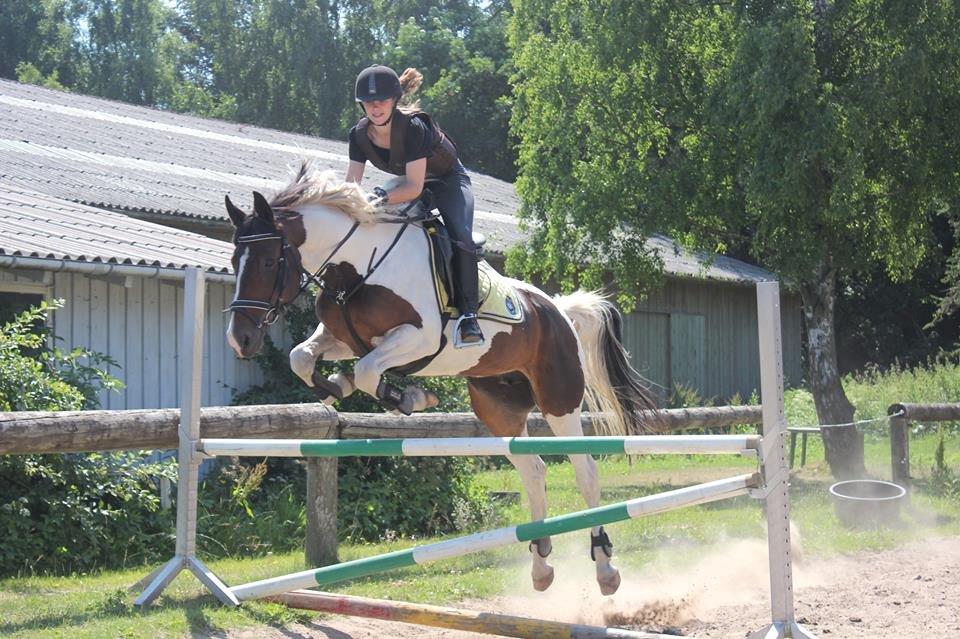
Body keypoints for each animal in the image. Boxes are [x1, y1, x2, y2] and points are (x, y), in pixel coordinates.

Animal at [225, 164, 660, 596]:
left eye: (268, 262)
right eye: (233, 260)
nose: (240, 339)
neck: (359, 266)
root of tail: (559, 309)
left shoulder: (417, 338)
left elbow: (368, 370)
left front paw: (409, 398)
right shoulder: (344, 338)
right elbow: (303, 357)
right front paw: (334, 386)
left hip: (559, 399)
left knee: (585, 471)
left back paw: (605, 568)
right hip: (498, 408)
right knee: (534, 470)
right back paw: (540, 566)